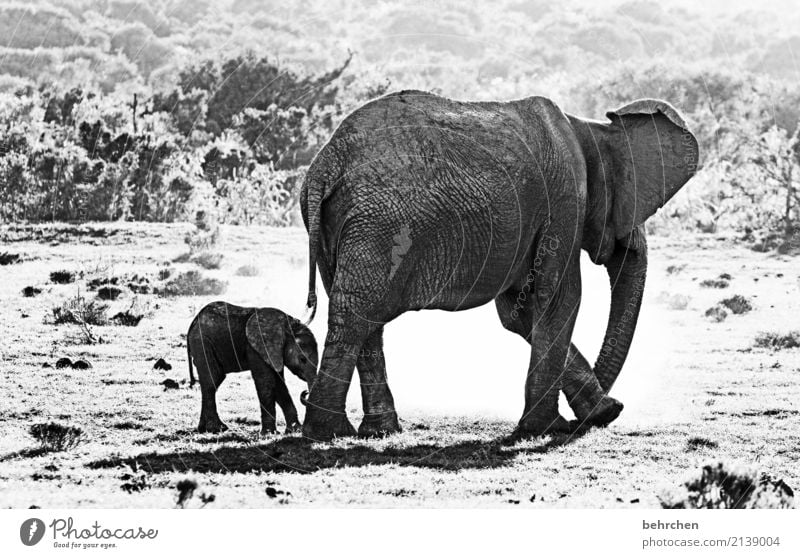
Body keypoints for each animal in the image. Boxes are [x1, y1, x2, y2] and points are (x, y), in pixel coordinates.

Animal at [186, 304, 318, 436]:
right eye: (302, 359)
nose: (305, 392)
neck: (288, 326)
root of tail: (193, 323)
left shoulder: (274, 353)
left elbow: (279, 385)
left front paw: (295, 430)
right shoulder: (256, 349)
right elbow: (266, 383)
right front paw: (269, 433)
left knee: (214, 381)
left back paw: (204, 429)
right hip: (202, 343)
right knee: (211, 382)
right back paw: (217, 429)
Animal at [296, 92, 696, 442]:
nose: (609, 408)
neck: (588, 127)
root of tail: (324, 165)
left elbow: (520, 311)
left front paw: (591, 413)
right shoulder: (565, 200)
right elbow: (559, 298)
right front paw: (548, 428)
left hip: (346, 226)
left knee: (361, 314)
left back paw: (377, 432)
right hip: (379, 223)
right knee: (357, 313)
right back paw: (329, 433)